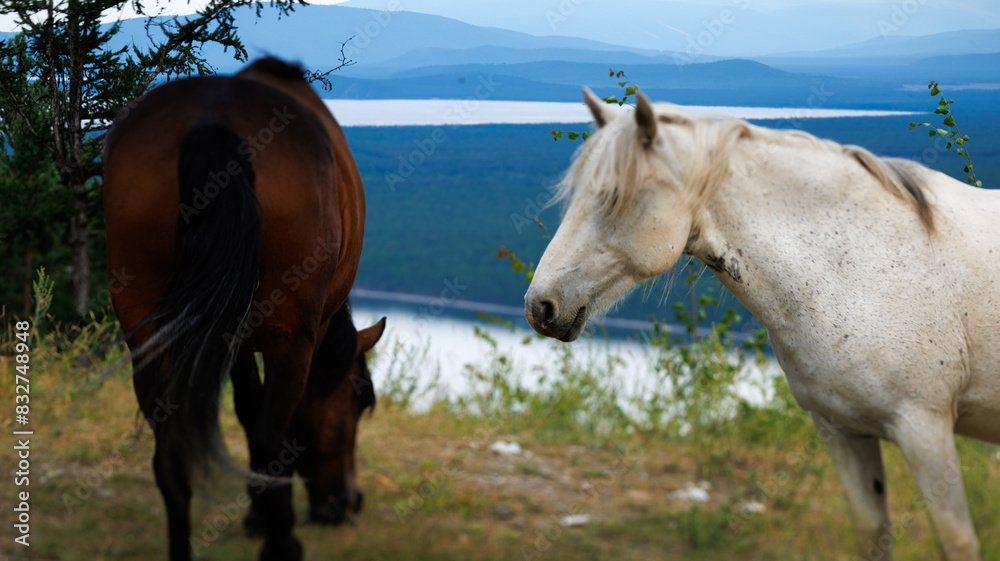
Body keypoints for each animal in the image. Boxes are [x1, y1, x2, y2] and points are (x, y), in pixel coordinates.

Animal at [103, 57, 382, 561]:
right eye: (359, 398)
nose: (349, 501)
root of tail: (211, 121)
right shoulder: (304, 335)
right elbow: (279, 426)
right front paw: (268, 521)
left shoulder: (227, 338)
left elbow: (247, 410)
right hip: (289, 335)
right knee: (273, 438)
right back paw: (282, 545)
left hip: (145, 332)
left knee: (169, 453)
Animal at [525, 88, 1000, 561]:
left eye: (613, 196)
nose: (539, 307)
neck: (867, 266)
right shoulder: (842, 430)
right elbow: (872, 535)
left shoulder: (925, 428)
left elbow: (957, 540)